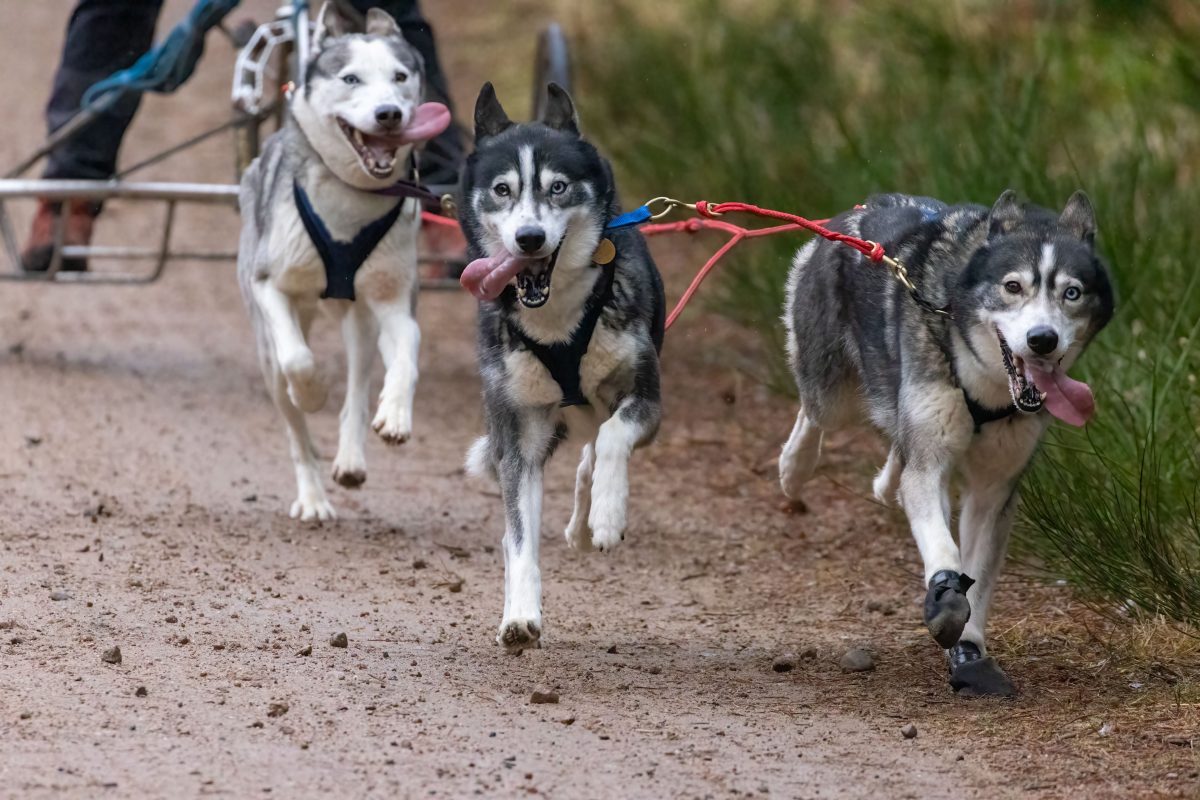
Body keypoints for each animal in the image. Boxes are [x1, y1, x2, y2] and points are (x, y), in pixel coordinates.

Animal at [237, 3, 451, 522]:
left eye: (400, 77)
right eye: (351, 78)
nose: (389, 114)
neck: (351, 200)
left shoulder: (395, 301)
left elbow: (408, 351)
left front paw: (395, 412)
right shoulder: (269, 284)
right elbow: (298, 358)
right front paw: (312, 391)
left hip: (361, 320)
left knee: (357, 387)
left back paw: (351, 458)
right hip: (267, 352)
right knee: (295, 427)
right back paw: (313, 496)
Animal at [456, 84, 667, 652]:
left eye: (558, 187)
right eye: (502, 189)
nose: (529, 238)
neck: (556, 321)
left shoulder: (647, 400)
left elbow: (614, 439)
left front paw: (608, 515)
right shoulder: (519, 439)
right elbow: (520, 540)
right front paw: (520, 616)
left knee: (595, 445)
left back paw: (587, 521)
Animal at [782, 191, 1108, 695]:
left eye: (1071, 292)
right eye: (1012, 287)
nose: (1042, 339)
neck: (988, 388)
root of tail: (856, 210)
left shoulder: (993, 489)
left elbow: (979, 572)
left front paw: (969, 653)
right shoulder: (931, 463)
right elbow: (945, 548)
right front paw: (945, 598)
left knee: (897, 449)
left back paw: (884, 481)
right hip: (832, 393)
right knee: (813, 415)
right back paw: (794, 469)